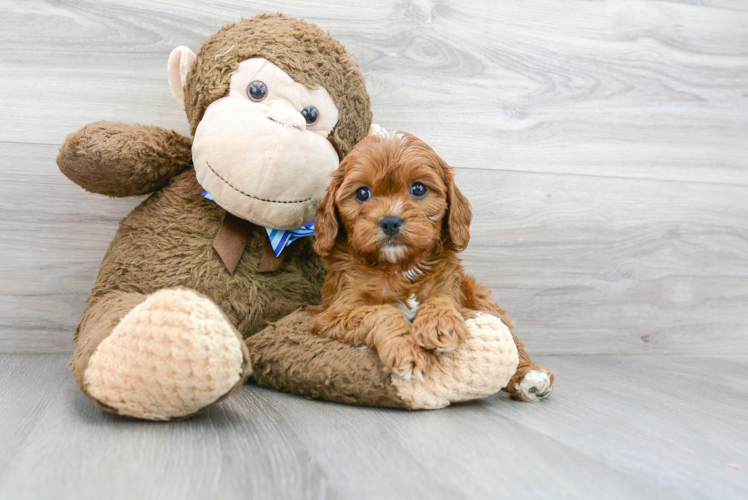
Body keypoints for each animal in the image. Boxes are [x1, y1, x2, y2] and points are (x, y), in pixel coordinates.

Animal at [306, 129, 552, 398]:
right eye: (362, 193)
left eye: (418, 188)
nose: (390, 221)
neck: (402, 267)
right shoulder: (333, 313)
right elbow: (383, 311)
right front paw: (408, 352)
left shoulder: (452, 291)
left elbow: (440, 299)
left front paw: (439, 325)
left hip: (480, 298)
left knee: (510, 336)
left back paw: (530, 376)